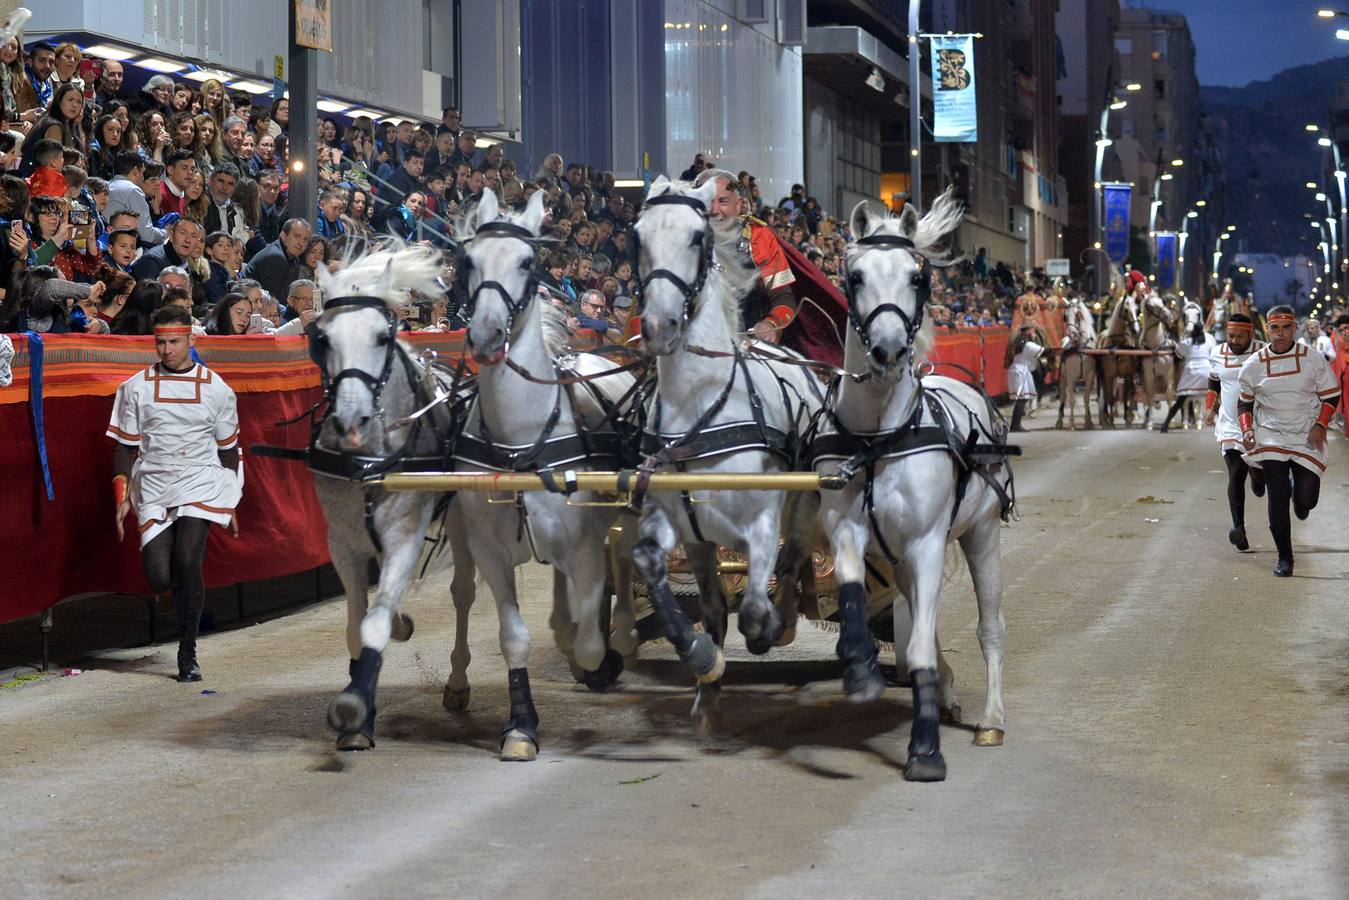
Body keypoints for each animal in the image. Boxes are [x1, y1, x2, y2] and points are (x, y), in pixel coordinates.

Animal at [306, 242, 474, 750]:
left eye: (383, 336)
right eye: (322, 338)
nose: (352, 423)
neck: (368, 463)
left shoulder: (404, 537)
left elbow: (375, 625)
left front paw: (354, 708)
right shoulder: (342, 543)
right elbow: (355, 626)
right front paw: (361, 716)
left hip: (462, 520)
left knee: (464, 592)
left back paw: (457, 683)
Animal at [455, 188, 639, 761]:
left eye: (526, 262)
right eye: (469, 260)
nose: (486, 333)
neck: (521, 438)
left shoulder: (585, 544)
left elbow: (590, 637)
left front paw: (598, 655)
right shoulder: (490, 553)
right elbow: (514, 639)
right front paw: (520, 726)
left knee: (624, 557)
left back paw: (621, 633)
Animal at [628, 178, 820, 739]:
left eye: (697, 236)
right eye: (637, 235)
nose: (659, 324)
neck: (701, 404)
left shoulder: (761, 519)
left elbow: (754, 605)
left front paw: (764, 630)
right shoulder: (683, 529)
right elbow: (694, 598)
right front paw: (704, 672)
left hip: (807, 501)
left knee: (795, 559)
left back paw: (785, 618)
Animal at [809, 194, 1014, 782]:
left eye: (917, 278)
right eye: (854, 275)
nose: (888, 349)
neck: (880, 437)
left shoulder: (927, 543)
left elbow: (922, 645)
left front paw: (924, 751)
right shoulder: (846, 528)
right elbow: (852, 589)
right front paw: (860, 668)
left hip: (981, 533)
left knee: (989, 627)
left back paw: (991, 719)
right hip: (903, 558)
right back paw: (943, 692)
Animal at [1052, 299, 1095, 431]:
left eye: (1078, 315)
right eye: (1065, 316)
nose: (1071, 333)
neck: (1080, 348)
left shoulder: (1090, 377)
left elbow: (1086, 398)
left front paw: (1088, 422)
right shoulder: (1071, 377)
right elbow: (1072, 400)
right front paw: (1072, 424)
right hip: (1063, 378)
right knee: (1063, 397)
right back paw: (1059, 421)